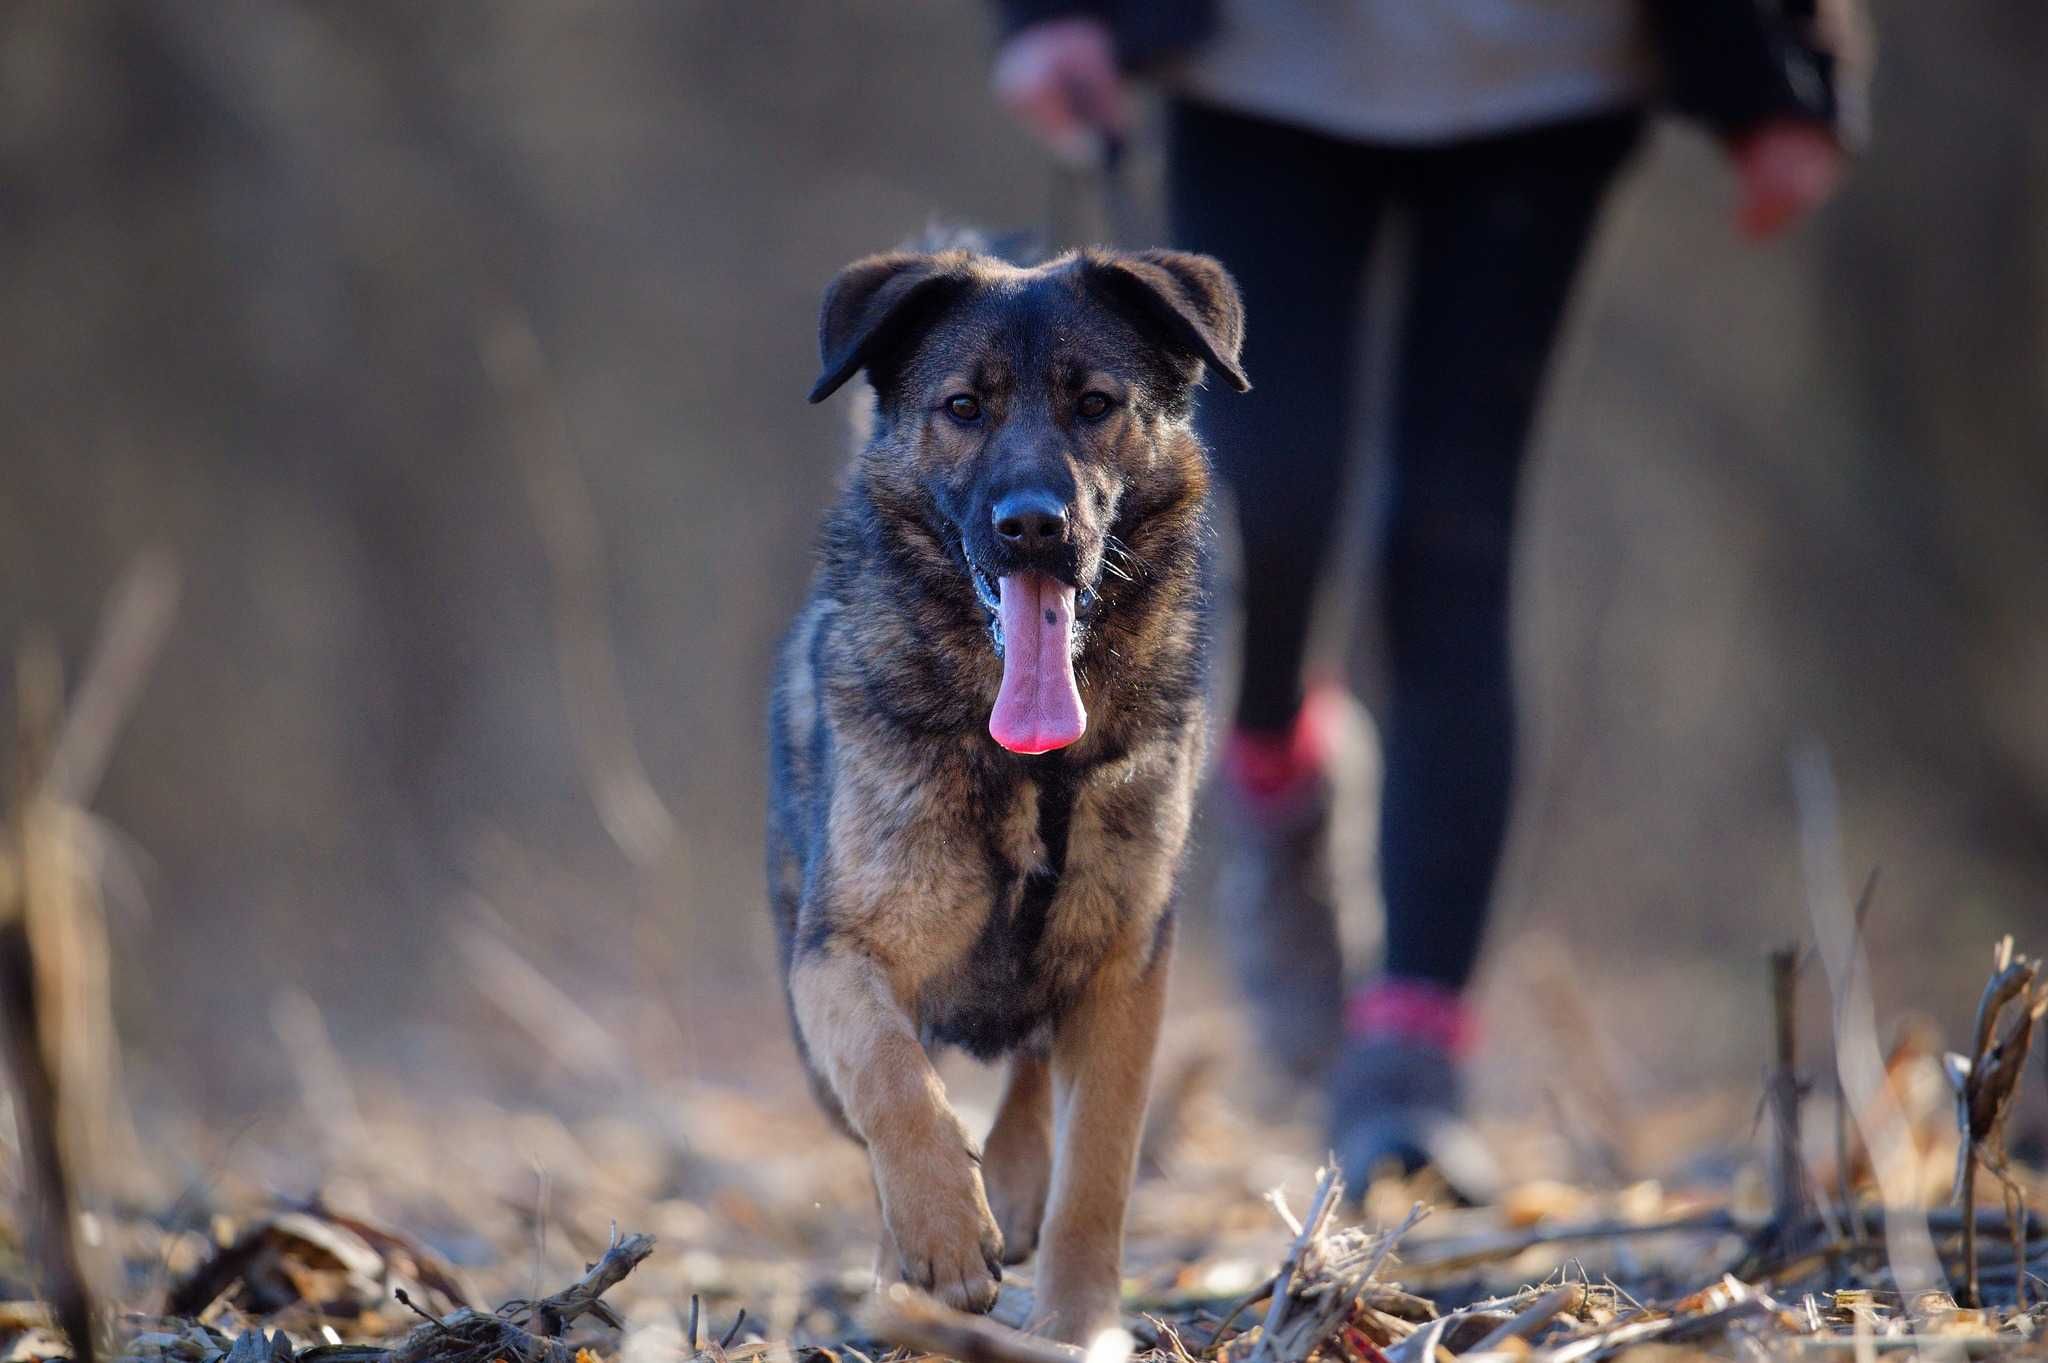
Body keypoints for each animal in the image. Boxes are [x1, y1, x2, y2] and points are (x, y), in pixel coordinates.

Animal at [770, 238, 1245, 1334]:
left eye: (1094, 402)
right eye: (963, 407)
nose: (1033, 525)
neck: (1033, 765)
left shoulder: (1125, 967)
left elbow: (1097, 1168)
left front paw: (1076, 1326)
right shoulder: (839, 955)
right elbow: (892, 1076)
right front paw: (942, 1236)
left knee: (1034, 1061)